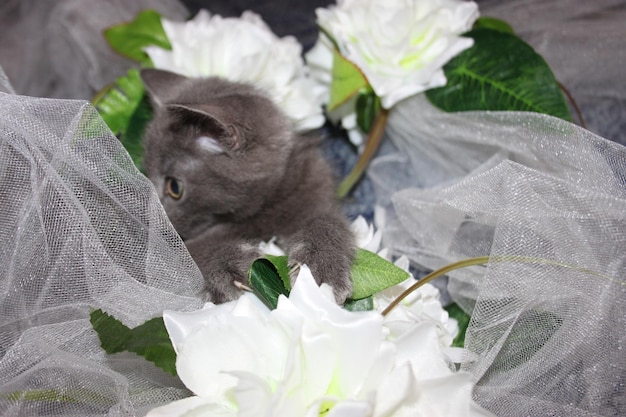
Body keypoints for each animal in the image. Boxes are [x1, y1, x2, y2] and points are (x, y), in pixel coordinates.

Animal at [142, 68, 356, 302]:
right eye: (146, 176)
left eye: (174, 187)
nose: (152, 221)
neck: (262, 210)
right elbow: (188, 252)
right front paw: (229, 265)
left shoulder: (315, 188)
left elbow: (327, 222)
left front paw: (321, 270)